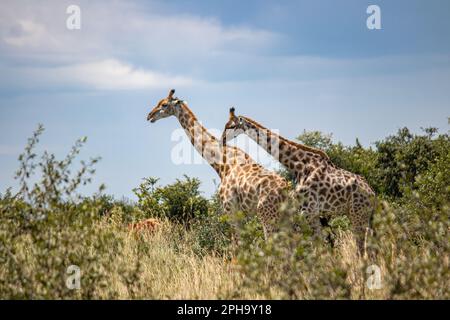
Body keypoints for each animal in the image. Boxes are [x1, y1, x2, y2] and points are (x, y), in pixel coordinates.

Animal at [146, 89, 290, 239]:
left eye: (164, 104)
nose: (149, 115)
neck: (222, 163)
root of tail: (286, 191)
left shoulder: (230, 210)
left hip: (267, 215)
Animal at [221, 107, 376, 252]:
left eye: (230, 126)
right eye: (226, 125)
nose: (222, 139)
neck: (299, 166)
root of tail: (373, 194)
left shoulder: (308, 211)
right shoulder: (312, 213)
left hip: (358, 214)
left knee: (362, 246)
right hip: (361, 215)